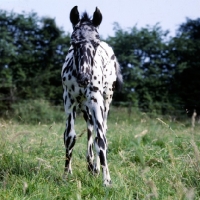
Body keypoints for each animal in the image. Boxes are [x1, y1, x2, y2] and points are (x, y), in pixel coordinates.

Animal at [61, 5, 122, 186]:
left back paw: (95, 167)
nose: (84, 78)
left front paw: (107, 181)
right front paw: (66, 175)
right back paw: (90, 165)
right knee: (89, 129)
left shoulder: (96, 101)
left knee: (98, 132)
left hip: (105, 101)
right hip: (85, 107)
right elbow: (70, 137)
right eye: (73, 42)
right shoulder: (69, 101)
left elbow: (101, 140)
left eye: (95, 42)